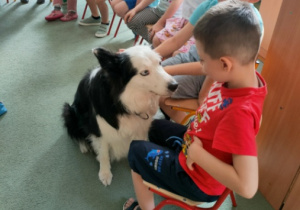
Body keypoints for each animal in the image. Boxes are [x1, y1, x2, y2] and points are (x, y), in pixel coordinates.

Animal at [61, 45, 177, 185]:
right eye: (144, 72)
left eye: (159, 63)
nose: (175, 85)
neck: (122, 104)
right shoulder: (100, 130)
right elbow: (104, 153)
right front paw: (105, 173)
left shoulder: (140, 128)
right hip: (69, 111)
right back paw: (84, 145)